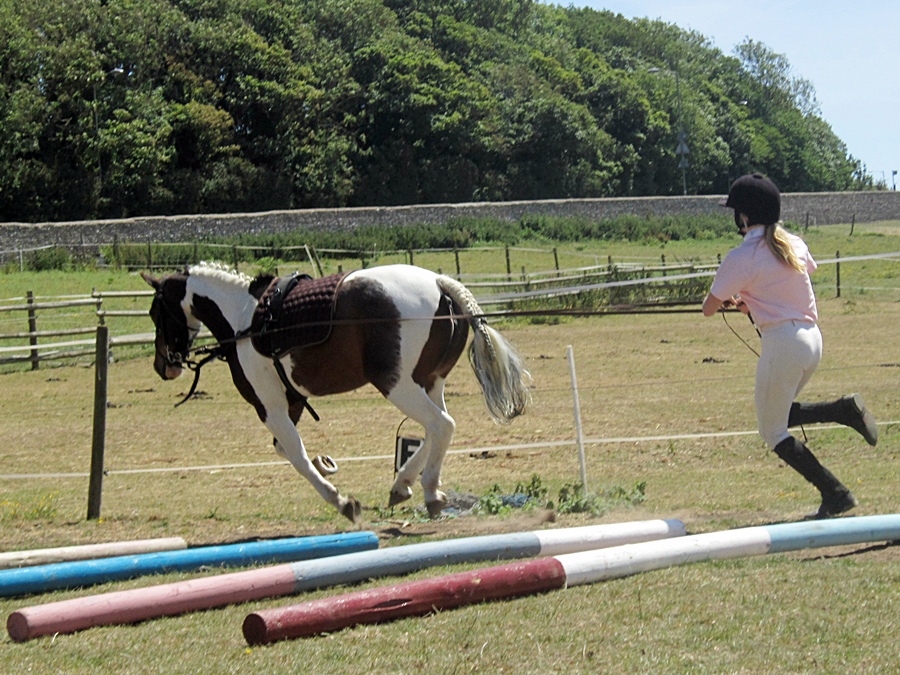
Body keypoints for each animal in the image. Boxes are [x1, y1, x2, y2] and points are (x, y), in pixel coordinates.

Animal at [141, 262, 530, 522]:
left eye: (156, 311)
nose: (164, 365)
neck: (246, 320)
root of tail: (438, 282)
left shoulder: (270, 407)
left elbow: (296, 456)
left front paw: (341, 501)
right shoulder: (292, 402)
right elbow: (286, 449)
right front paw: (326, 466)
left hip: (398, 386)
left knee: (441, 426)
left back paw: (430, 491)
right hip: (429, 383)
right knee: (436, 431)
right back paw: (404, 484)